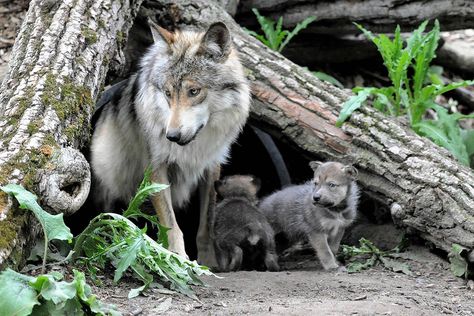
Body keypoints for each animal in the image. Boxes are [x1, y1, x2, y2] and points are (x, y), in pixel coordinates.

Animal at [90, 19, 252, 262]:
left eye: (194, 91)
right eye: (167, 93)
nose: (172, 136)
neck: (194, 148)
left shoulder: (211, 167)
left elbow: (206, 225)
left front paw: (209, 262)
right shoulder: (156, 168)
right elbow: (171, 223)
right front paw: (177, 256)